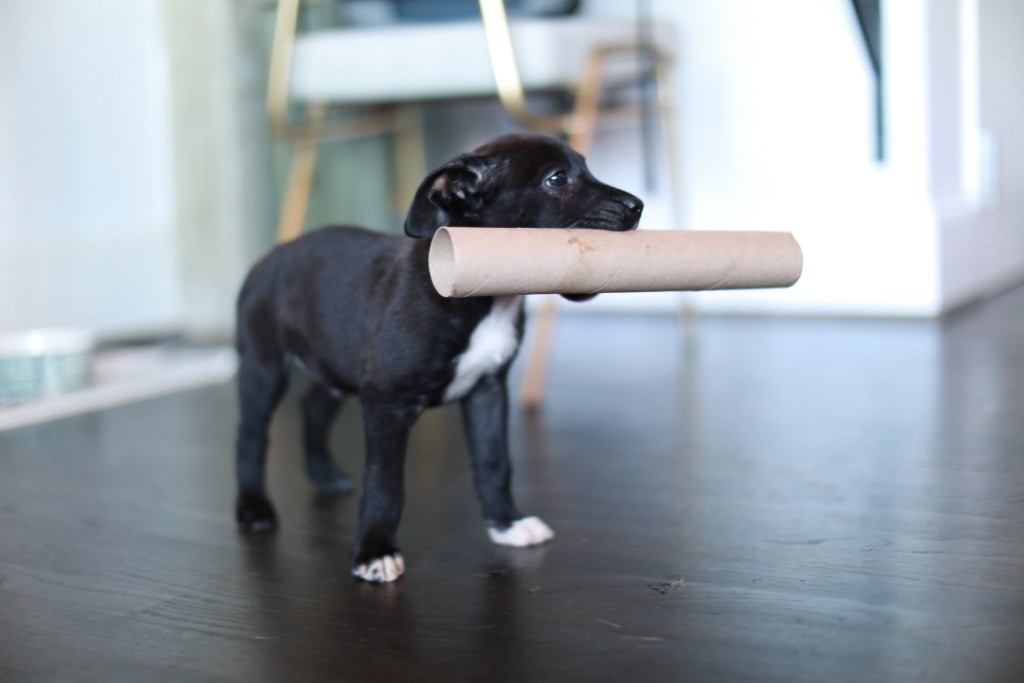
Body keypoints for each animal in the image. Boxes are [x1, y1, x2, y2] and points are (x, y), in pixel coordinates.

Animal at [235, 132, 643, 581]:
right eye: (557, 179)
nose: (638, 206)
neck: (487, 300)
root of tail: (271, 254)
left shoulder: (487, 391)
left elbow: (494, 462)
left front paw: (507, 522)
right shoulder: (388, 403)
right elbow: (385, 483)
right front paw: (374, 550)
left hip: (335, 362)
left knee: (312, 407)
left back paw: (323, 475)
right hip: (262, 368)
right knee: (251, 436)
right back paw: (253, 508)